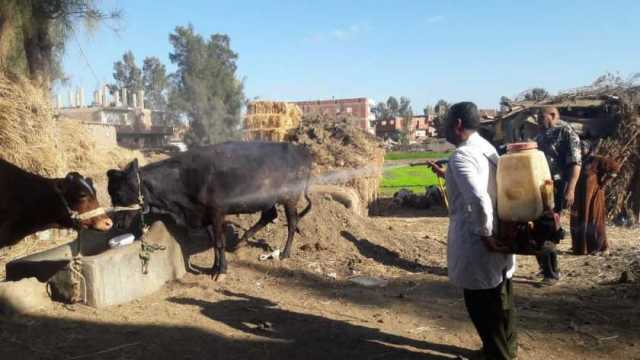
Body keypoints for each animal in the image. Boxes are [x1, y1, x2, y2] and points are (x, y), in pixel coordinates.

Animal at [107, 142, 312, 280]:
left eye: (119, 193)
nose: (117, 224)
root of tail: (300, 151)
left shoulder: (217, 212)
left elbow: (219, 243)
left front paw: (221, 272)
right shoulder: (204, 216)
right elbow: (214, 242)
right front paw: (215, 267)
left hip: (290, 198)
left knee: (292, 223)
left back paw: (284, 253)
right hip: (267, 200)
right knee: (270, 215)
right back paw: (240, 242)